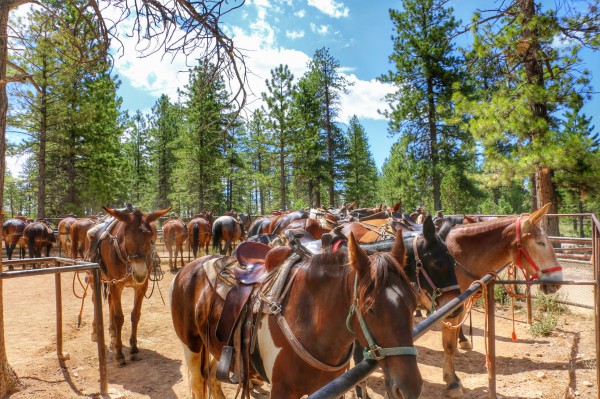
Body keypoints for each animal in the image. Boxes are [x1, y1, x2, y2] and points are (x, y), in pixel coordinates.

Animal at [88, 208, 171, 368]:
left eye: (150, 235)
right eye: (126, 236)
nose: (139, 272)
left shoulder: (140, 286)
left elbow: (135, 315)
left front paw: (134, 349)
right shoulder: (116, 284)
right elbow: (119, 317)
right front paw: (119, 354)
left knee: (110, 302)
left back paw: (113, 332)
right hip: (94, 278)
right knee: (95, 300)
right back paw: (95, 331)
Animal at [169, 230, 422, 398]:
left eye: (413, 303)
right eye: (371, 309)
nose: (410, 388)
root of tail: (187, 269)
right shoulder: (281, 391)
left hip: (216, 348)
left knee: (212, 377)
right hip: (192, 347)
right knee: (199, 383)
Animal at [436, 205, 564, 398]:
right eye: (540, 242)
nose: (557, 281)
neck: (455, 255)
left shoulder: (459, 308)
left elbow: (452, 341)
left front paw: (454, 375)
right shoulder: (449, 310)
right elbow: (448, 345)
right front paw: (451, 382)